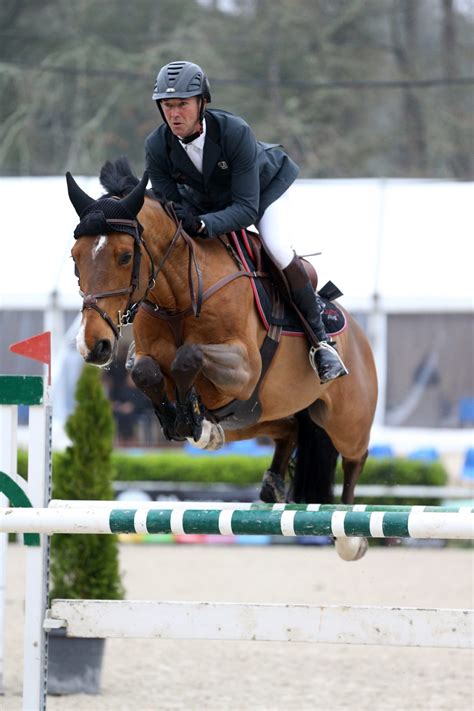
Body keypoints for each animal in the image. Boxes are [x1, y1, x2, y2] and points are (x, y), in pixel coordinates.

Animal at [65, 157, 378, 560]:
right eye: (75, 258)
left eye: (124, 256)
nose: (94, 346)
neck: (179, 298)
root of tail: (357, 334)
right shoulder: (146, 356)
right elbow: (145, 371)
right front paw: (184, 421)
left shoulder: (244, 369)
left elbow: (188, 356)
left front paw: (190, 417)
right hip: (258, 415)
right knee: (289, 430)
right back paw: (267, 481)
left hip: (344, 419)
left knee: (356, 456)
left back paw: (351, 536)